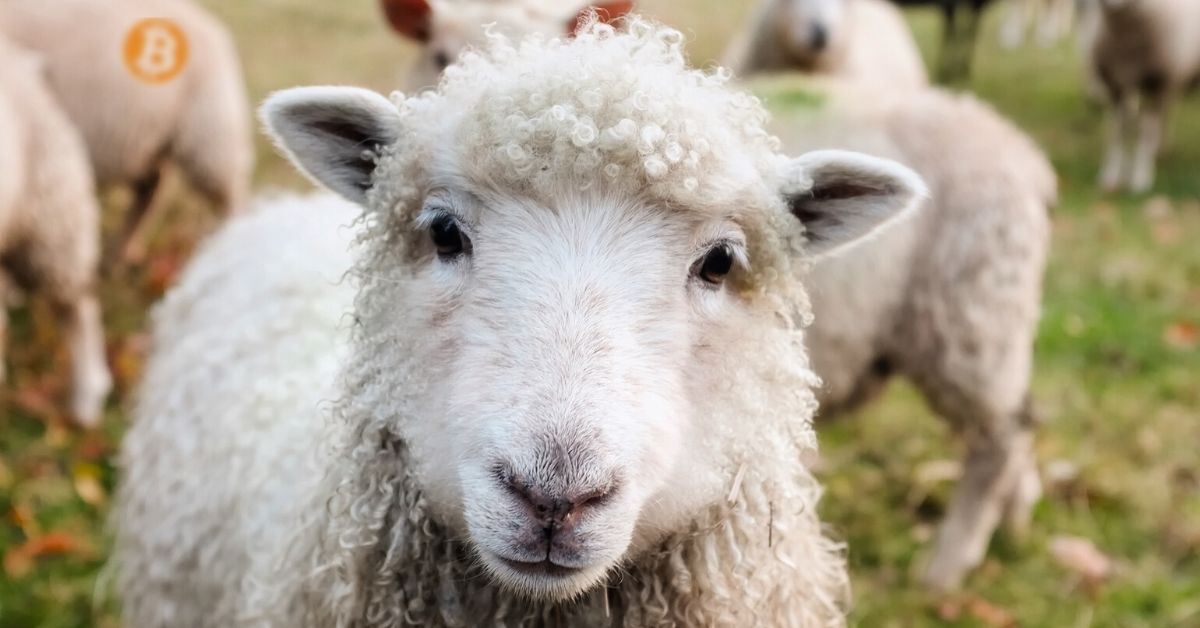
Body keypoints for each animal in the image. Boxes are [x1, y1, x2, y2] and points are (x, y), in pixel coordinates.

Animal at [1085, 0, 1200, 193]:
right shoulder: (1115, 86)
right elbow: (1117, 131)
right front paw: (1111, 176)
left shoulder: (1155, 85)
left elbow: (1146, 132)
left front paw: (1141, 178)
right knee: (1168, 111)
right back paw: (1162, 150)